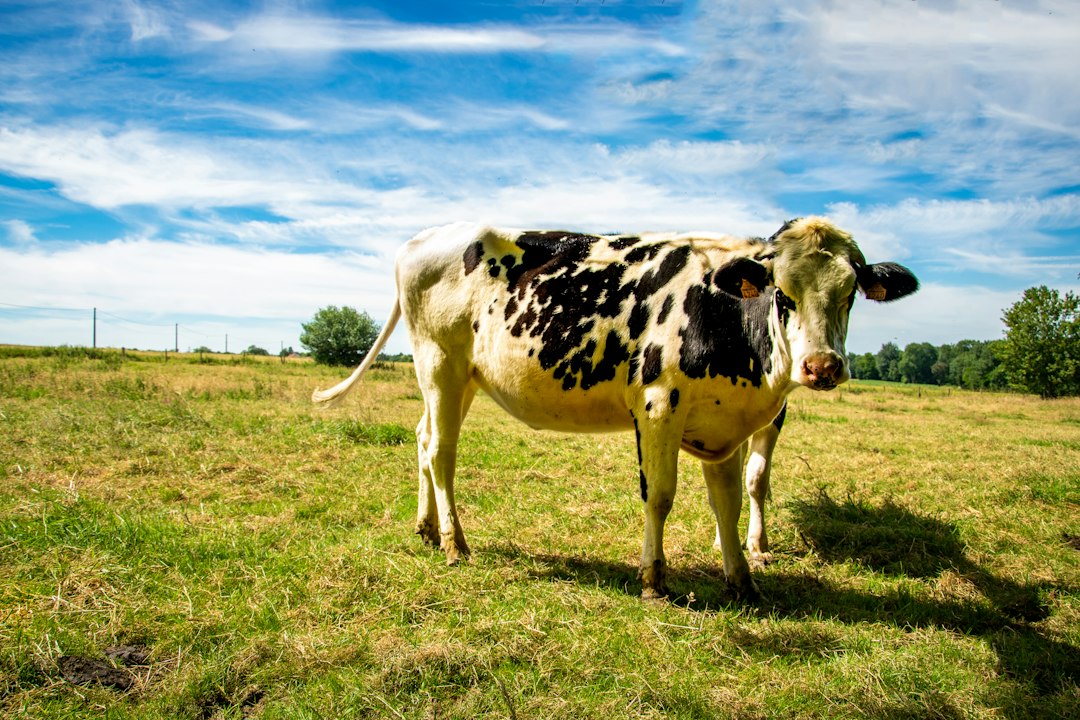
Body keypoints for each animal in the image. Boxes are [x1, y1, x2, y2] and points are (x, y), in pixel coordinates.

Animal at [313, 217, 918, 600]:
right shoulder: (658, 405)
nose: (822, 366)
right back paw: (455, 544)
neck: (722, 314)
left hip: (461, 380)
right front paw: (654, 579)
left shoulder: (725, 426)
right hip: (439, 362)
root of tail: (424, 237)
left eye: (849, 294)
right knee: (441, 452)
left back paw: (426, 527)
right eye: (780, 291)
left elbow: (728, 502)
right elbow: (661, 497)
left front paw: (742, 579)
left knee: (421, 438)